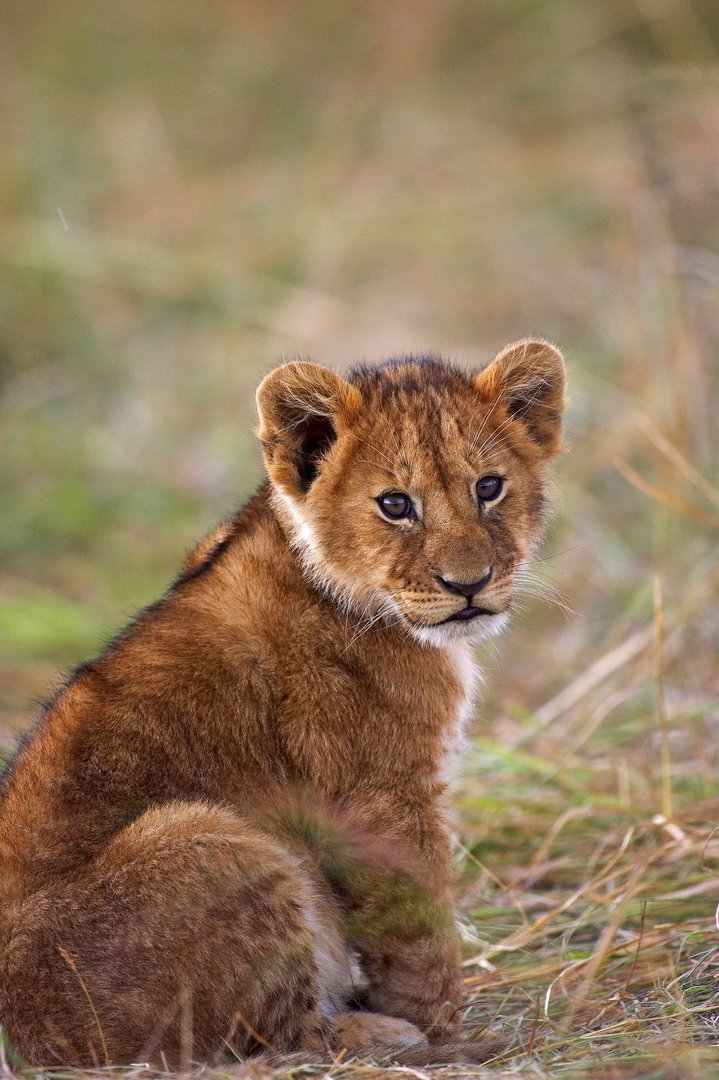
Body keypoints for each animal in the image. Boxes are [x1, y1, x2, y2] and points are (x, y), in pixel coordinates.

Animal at [0, 339, 565, 1067]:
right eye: (395, 504)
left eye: (489, 488)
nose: (468, 585)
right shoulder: (380, 796)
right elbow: (420, 937)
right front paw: (451, 1036)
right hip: (206, 835)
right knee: (275, 1038)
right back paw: (389, 1036)